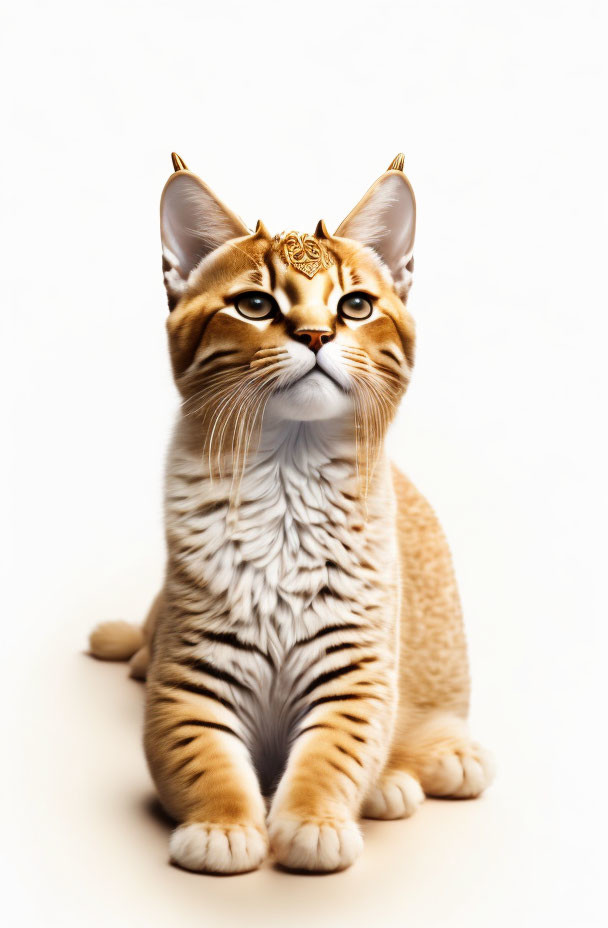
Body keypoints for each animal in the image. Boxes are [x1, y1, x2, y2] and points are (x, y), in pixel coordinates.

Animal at [89, 150, 494, 872]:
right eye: (256, 304)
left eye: (355, 305)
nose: (314, 333)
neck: (287, 476)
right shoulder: (190, 677)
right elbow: (205, 760)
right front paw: (223, 826)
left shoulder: (356, 670)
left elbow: (334, 754)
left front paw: (312, 820)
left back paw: (428, 763)